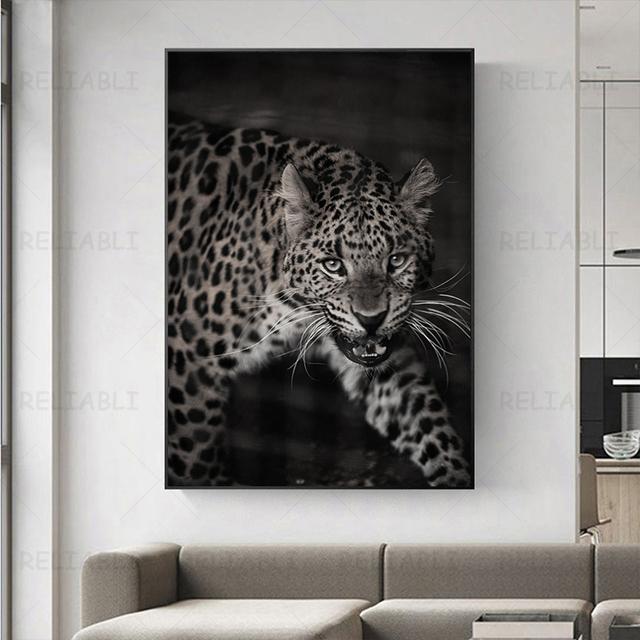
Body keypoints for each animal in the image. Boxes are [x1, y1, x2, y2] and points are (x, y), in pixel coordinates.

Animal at [167, 112, 471, 488]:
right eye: (333, 265)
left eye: (396, 260)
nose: (371, 319)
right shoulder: (189, 361)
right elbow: (196, 456)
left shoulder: (386, 360)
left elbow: (427, 424)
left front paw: (456, 478)